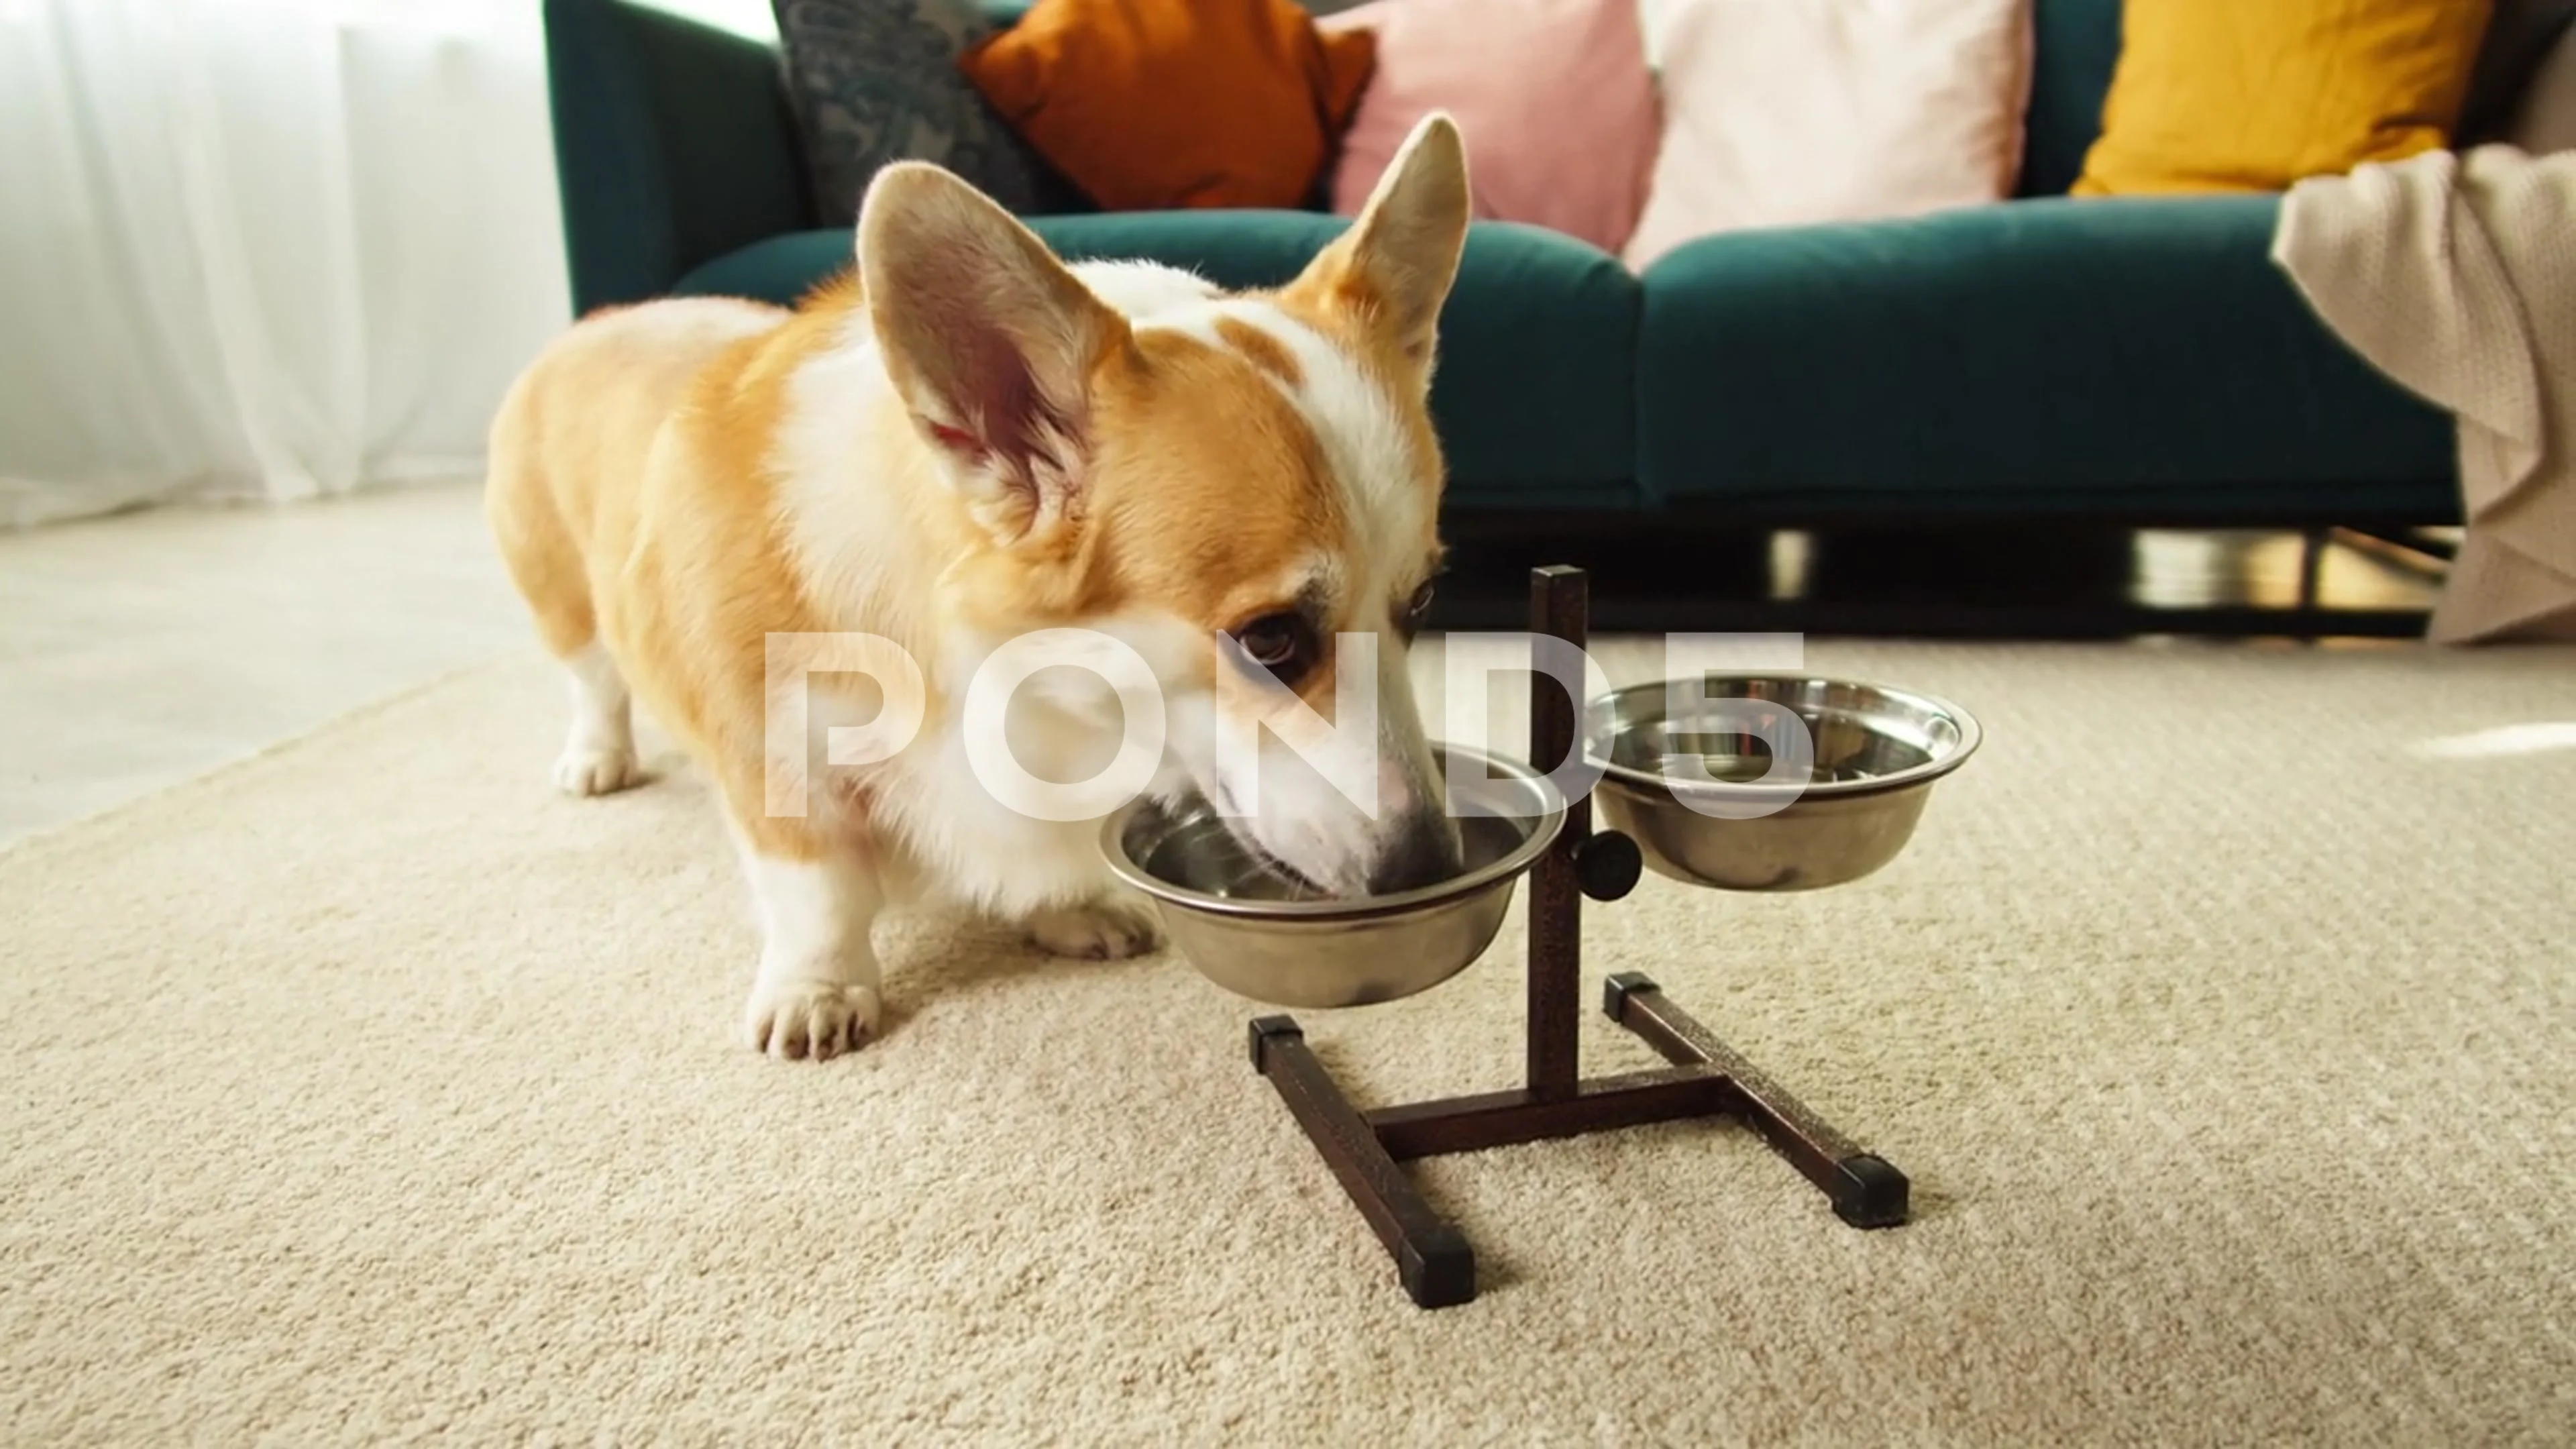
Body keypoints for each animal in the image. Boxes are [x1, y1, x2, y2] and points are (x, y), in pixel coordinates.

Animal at [492, 113, 1483, 1057]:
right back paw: (597, 758)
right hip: (558, 596)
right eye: (1271, 638)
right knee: (592, 679)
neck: (1020, 680)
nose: (1430, 869)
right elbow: (820, 890)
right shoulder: (771, 748)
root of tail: (604, 318)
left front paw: (1068, 912)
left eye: (1422, 604)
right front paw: (819, 990)